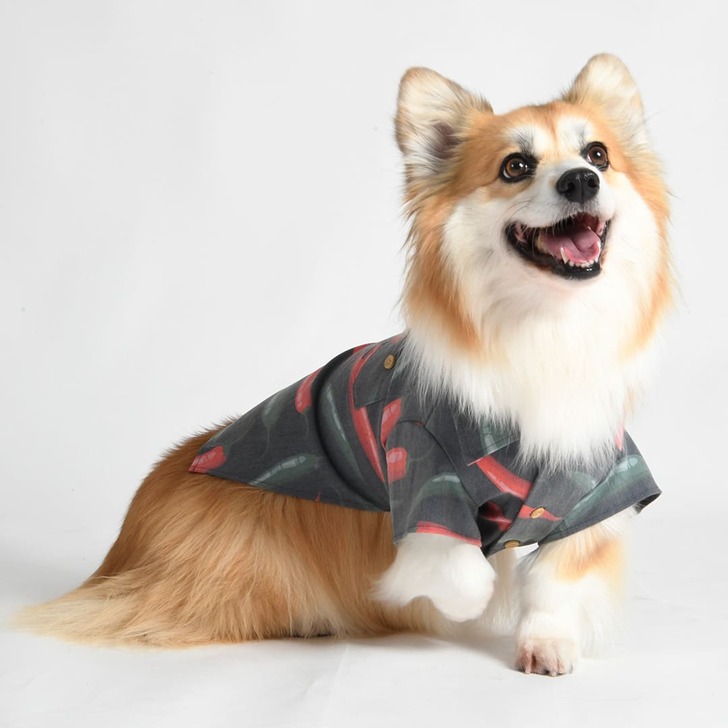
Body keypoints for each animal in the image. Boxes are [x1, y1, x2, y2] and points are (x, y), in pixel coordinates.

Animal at [18, 54, 673, 676]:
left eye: (598, 154)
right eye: (515, 166)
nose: (581, 180)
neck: (549, 329)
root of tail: (124, 546)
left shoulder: (594, 485)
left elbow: (554, 581)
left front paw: (546, 645)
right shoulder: (422, 474)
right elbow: (458, 572)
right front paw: (456, 600)